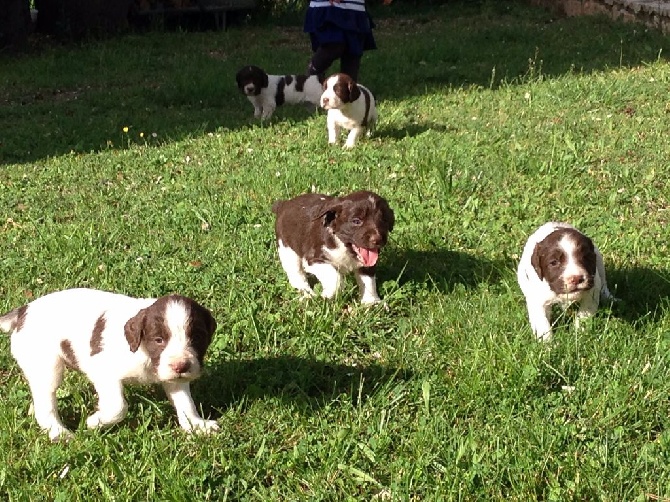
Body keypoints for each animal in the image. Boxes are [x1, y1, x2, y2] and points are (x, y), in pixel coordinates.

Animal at [0, 288, 218, 442]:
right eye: (158, 340)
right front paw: (94, 421)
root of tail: (23, 312)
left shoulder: (173, 377)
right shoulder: (103, 371)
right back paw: (59, 433)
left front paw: (197, 426)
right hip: (47, 367)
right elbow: (118, 406)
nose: (181, 366)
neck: (144, 353)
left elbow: (185, 403)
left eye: (197, 338)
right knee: (46, 403)